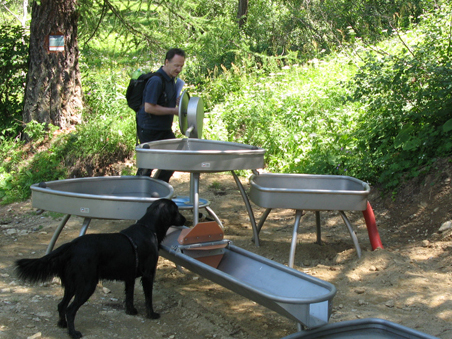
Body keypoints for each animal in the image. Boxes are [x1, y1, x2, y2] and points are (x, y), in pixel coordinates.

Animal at [15, 198, 185, 338]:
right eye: (176, 210)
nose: (184, 219)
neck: (148, 228)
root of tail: (72, 245)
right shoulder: (148, 274)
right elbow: (148, 298)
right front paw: (152, 314)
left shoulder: (129, 277)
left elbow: (129, 297)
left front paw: (131, 311)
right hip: (87, 285)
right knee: (70, 310)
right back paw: (73, 333)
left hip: (71, 284)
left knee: (61, 305)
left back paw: (62, 325)